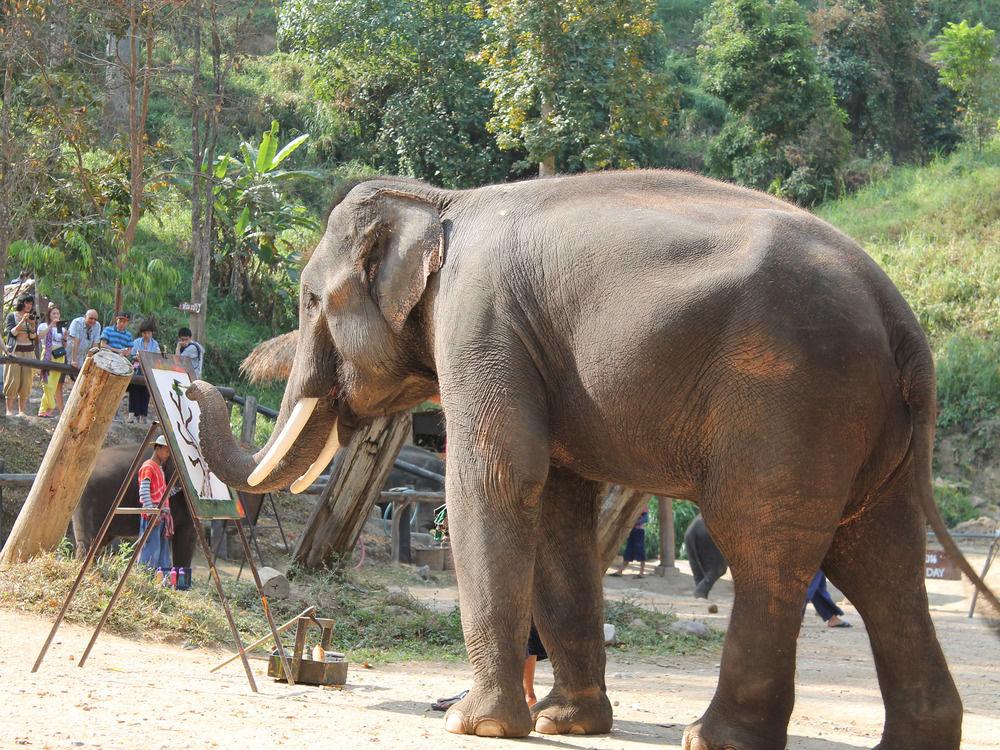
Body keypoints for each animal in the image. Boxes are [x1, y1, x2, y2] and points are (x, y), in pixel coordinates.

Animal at [189, 172, 1000, 750]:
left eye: (308, 301)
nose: (193, 383)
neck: (440, 200)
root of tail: (899, 315)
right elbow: (556, 506)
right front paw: (565, 724)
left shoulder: (481, 323)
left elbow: (494, 480)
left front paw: (476, 725)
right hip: (867, 421)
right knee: (879, 558)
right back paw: (914, 742)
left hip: (793, 395)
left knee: (768, 547)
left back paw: (715, 739)